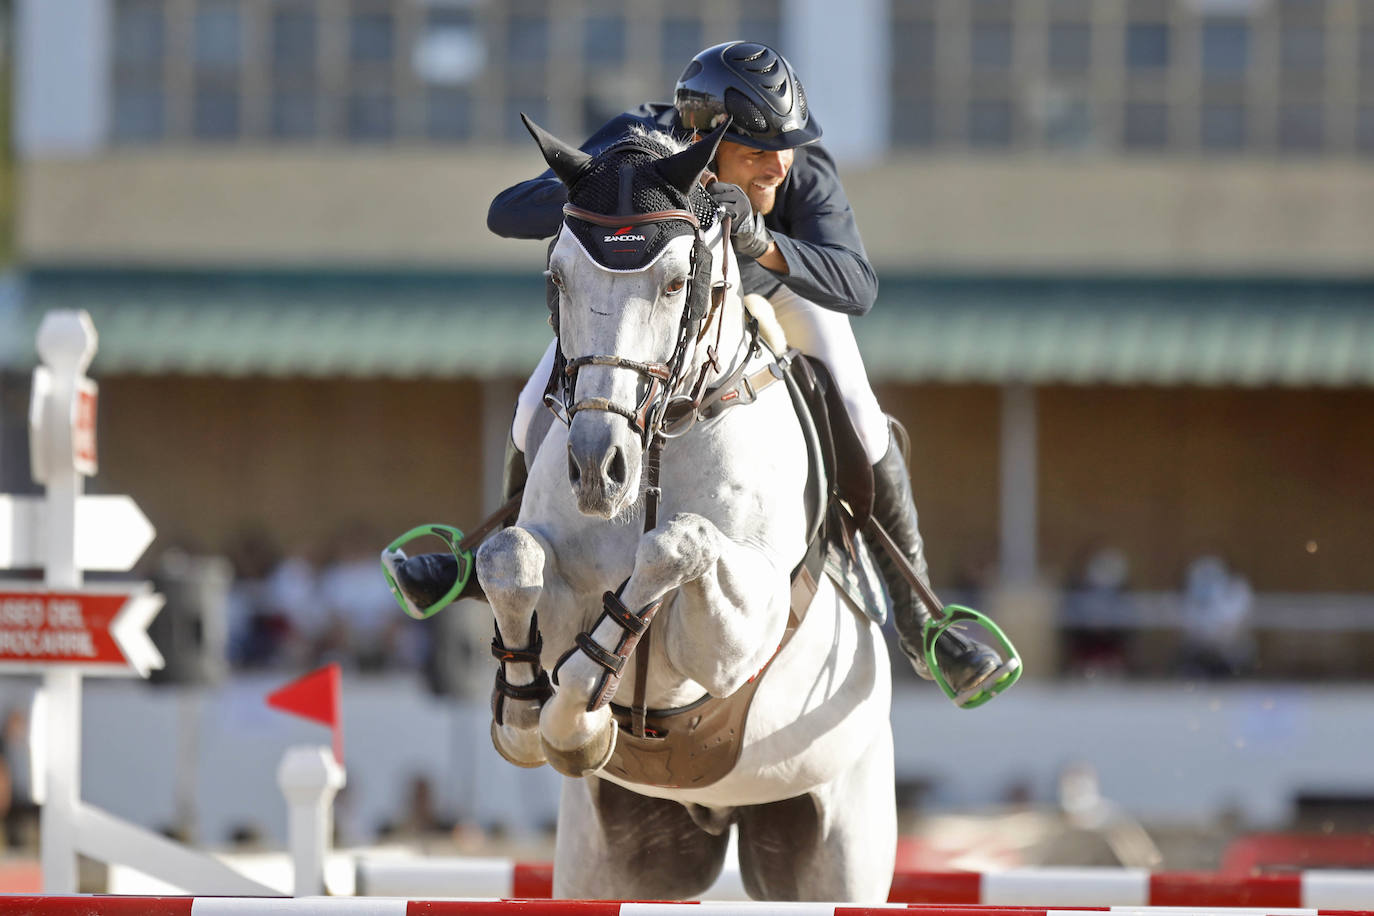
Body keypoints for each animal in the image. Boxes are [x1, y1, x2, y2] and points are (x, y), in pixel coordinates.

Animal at [473, 116, 896, 902]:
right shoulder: (549, 570)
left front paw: (579, 723)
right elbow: (509, 557)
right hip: (613, 859)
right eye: (558, 278)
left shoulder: (735, 639)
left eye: (676, 283)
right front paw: (524, 714)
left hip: (839, 846)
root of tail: (717, 814)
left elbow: (674, 544)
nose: (598, 469)